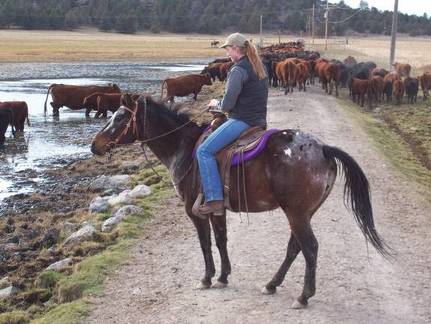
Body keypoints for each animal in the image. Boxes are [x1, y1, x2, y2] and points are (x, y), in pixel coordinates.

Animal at [91, 94, 392, 308]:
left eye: (119, 119)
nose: (94, 145)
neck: (185, 149)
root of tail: (323, 149)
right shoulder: (217, 210)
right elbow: (221, 240)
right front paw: (224, 276)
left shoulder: (194, 212)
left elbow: (205, 243)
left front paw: (207, 278)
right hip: (304, 213)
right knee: (295, 247)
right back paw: (272, 284)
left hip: (296, 213)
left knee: (309, 248)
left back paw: (303, 296)